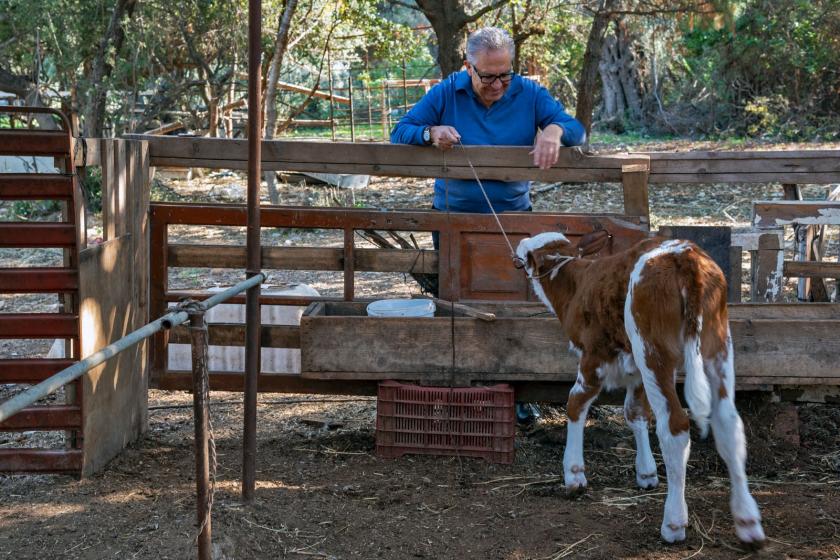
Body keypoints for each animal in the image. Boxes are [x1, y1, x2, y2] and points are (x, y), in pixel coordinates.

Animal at [516, 232, 764, 548]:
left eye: (527, 253)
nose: (516, 247)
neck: (577, 283)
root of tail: (684, 256)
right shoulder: (634, 368)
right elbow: (635, 412)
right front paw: (646, 472)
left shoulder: (595, 356)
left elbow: (576, 402)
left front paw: (574, 474)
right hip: (717, 345)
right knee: (729, 424)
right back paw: (748, 522)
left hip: (654, 352)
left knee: (675, 428)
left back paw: (673, 523)